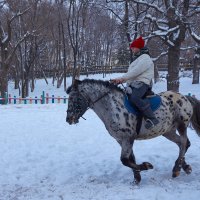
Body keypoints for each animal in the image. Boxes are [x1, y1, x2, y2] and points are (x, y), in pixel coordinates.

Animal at [66, 77, 200, 183]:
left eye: (74, 98)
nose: (69, 119)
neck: (113, 107)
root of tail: (184, 97)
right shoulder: (121, 140)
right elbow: (131, 158)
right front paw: (137, 178)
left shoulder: (128, 138)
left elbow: (124, 160)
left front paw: (146, 166)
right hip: (167, 131)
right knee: (183, 144)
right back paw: (184, 167)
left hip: (182, 125)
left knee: (183, 143)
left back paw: (176, 169)